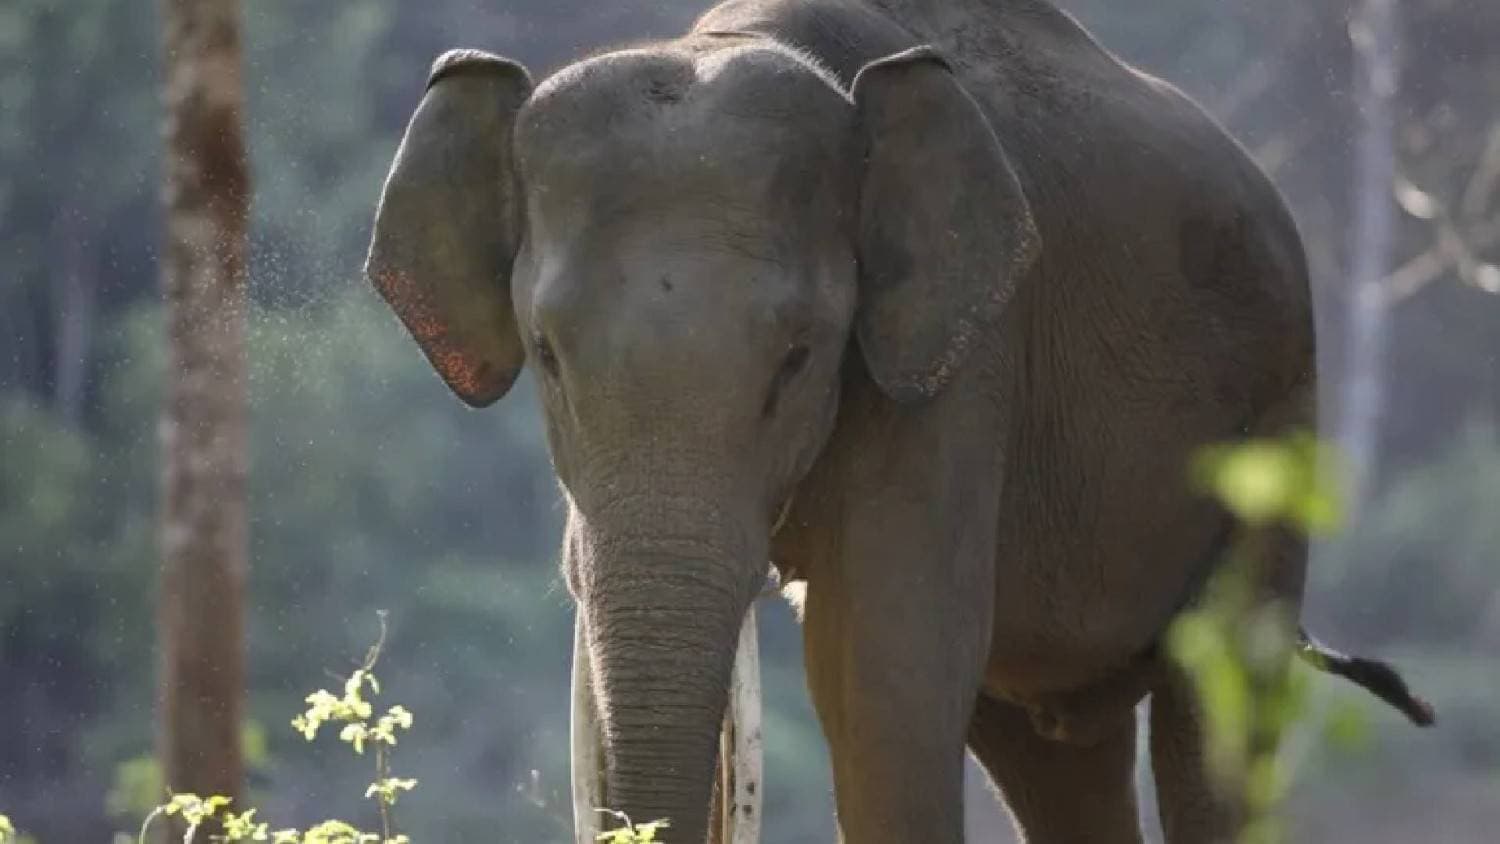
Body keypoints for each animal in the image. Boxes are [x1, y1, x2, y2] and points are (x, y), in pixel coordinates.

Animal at [363, 0, 1433, 840]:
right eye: (546, 355)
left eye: (798, 358)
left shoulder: (960, 366)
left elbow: (883, 676)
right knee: (1049, 747)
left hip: (1281, 405)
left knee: (1217, 708)